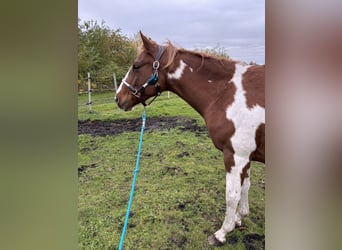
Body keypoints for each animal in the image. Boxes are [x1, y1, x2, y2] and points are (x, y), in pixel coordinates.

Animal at [115, 31, 264, 246]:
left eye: (136, 65)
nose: (118, 98)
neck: (226, 93)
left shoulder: (235, 156)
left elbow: (232, 195)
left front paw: (222, 233)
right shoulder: (246, 157)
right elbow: (245, 187)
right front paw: (239, 218)